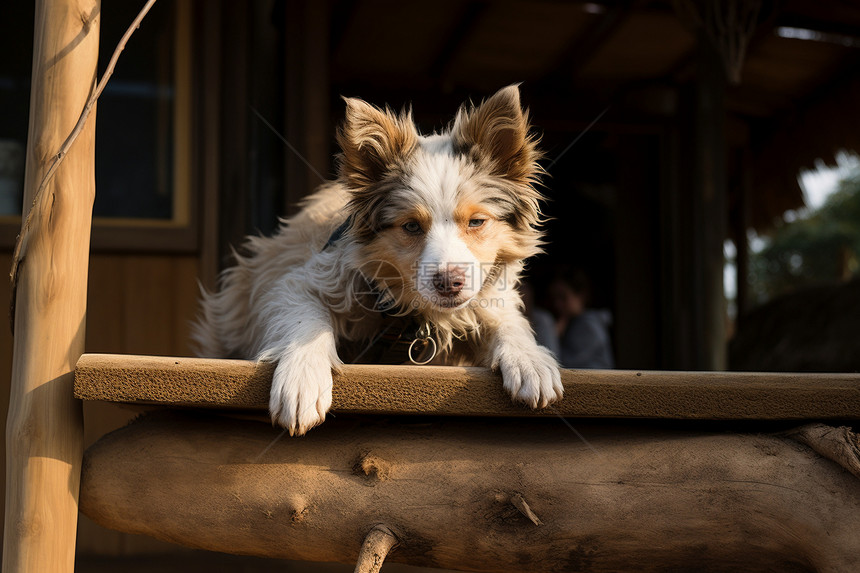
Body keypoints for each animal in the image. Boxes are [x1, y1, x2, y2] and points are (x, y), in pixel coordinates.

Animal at [191, 84, 560, 434]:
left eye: (477, 222)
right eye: (411, 226)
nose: (449, 283)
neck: (416, 318)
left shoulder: (487, 298)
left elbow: (507, 321)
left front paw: (530, 361)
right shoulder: (301, 280)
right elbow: (306, 319)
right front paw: (302, 381)